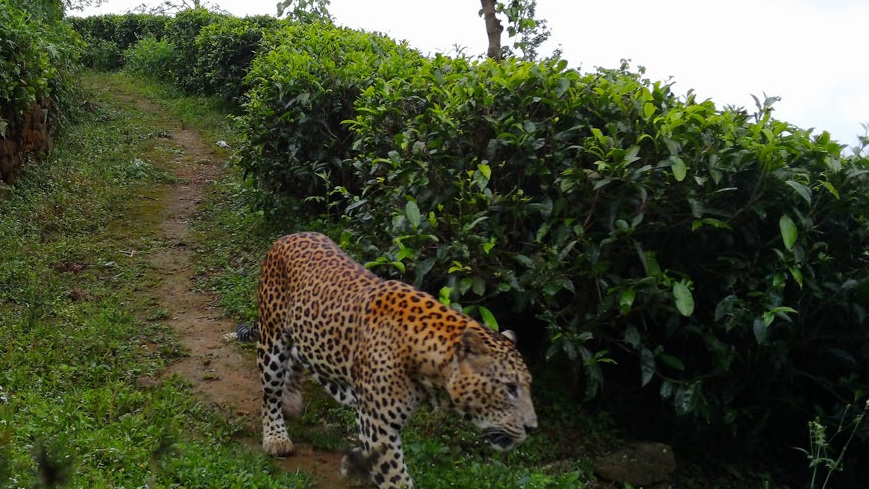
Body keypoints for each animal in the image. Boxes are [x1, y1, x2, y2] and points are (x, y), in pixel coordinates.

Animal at [254, 232, 537, 489]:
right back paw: (276, 436)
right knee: (270, 392)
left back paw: (291, 400)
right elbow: (396, 479)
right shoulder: (379, 427)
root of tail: (288, 236)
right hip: (272, 339)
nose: (532, 427)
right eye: (510, 388)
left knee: (296, 356)